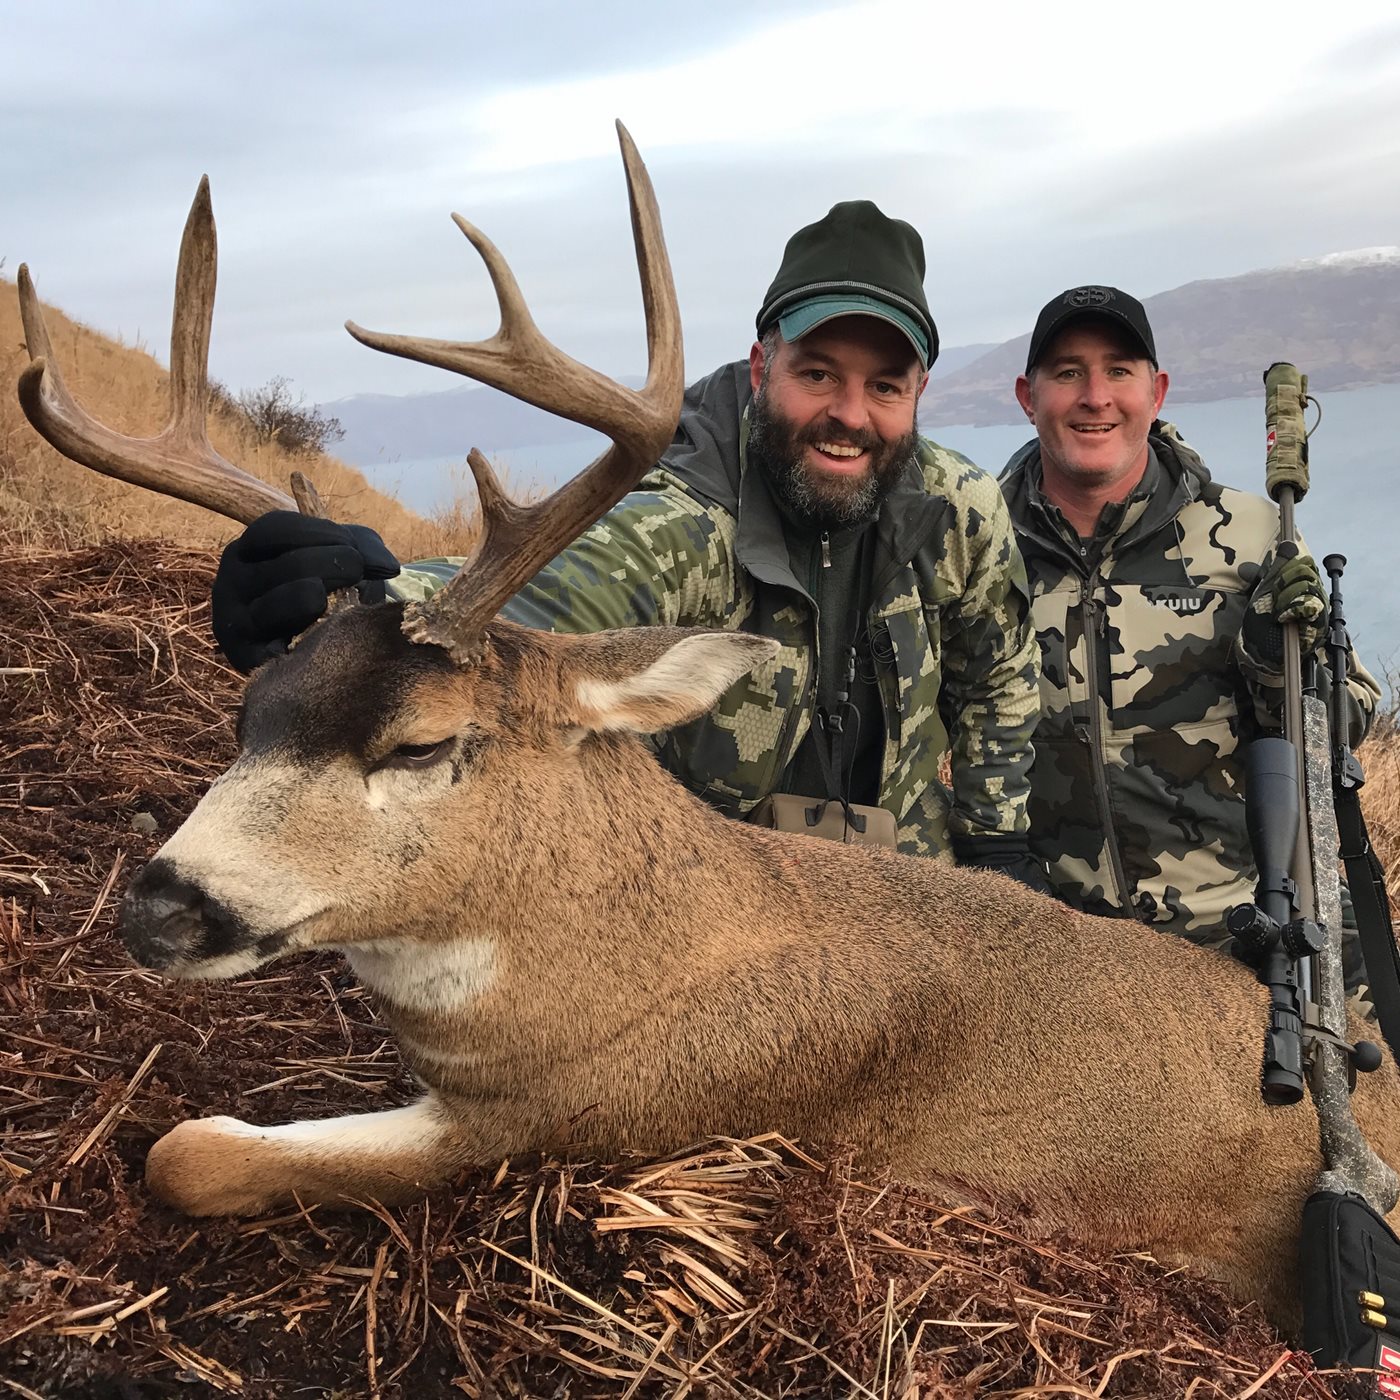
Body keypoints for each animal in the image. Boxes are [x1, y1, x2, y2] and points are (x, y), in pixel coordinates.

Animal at [17, 124, 1400, 1334]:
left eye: (418, 742)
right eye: (253, 709)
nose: (161, 903)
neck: (612, 965)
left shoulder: (590, 1113)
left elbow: (189, 1153)